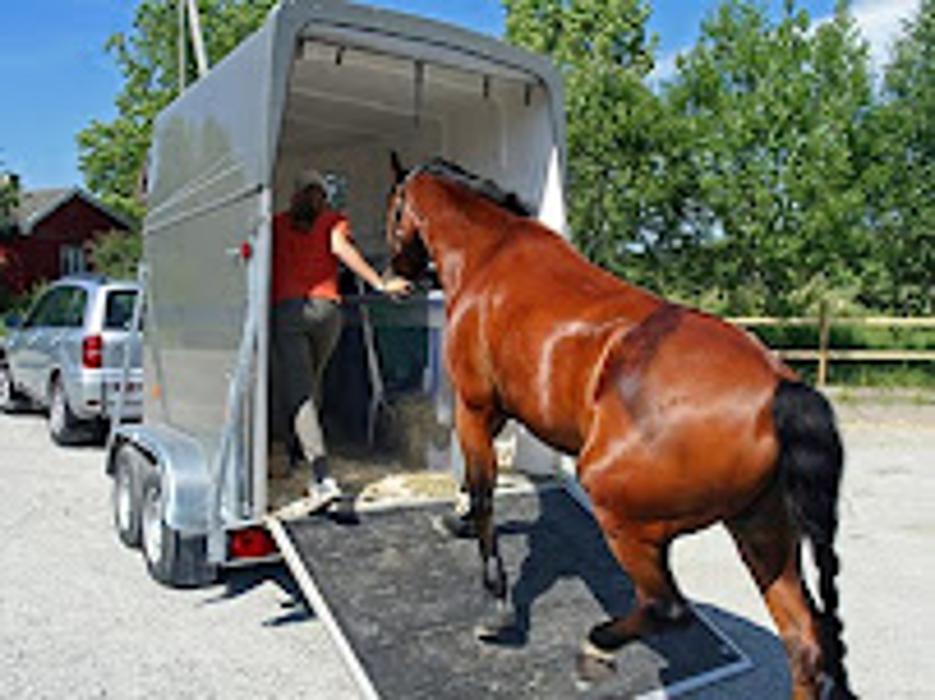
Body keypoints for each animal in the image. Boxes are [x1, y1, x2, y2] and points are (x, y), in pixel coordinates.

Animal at [384, 154, 854, 700]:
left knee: (667, 608)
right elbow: (474, 485)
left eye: (394, 208)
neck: (490, 254)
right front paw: (455, 519)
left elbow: (482, 490)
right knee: (805, 643)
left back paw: (596, 646)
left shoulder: (475, 407)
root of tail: (781, 389)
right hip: (762, 532)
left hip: (629, 521)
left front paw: (496, 604)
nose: (396, 275)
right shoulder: (493, 411)